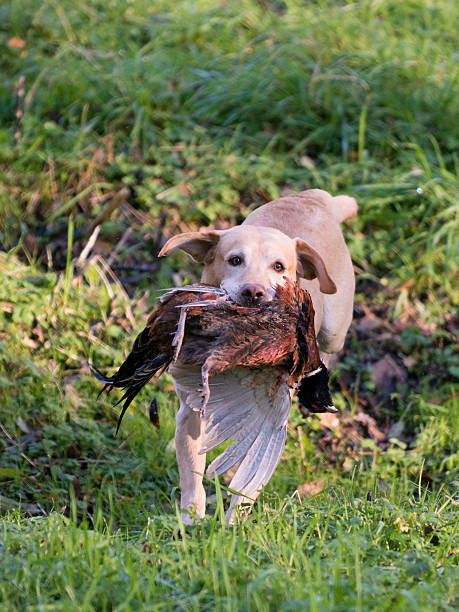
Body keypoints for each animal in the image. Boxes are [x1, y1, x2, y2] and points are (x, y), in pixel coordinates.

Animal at [159, 189, 360, 524]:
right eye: (235, 260)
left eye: (279, 267)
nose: (254, 292)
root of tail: (317, 197)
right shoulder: (190, 413)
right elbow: (191, 473)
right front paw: (191, 519)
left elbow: (249, 479)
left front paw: (233, 522)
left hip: (335, 327)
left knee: (330, 348)